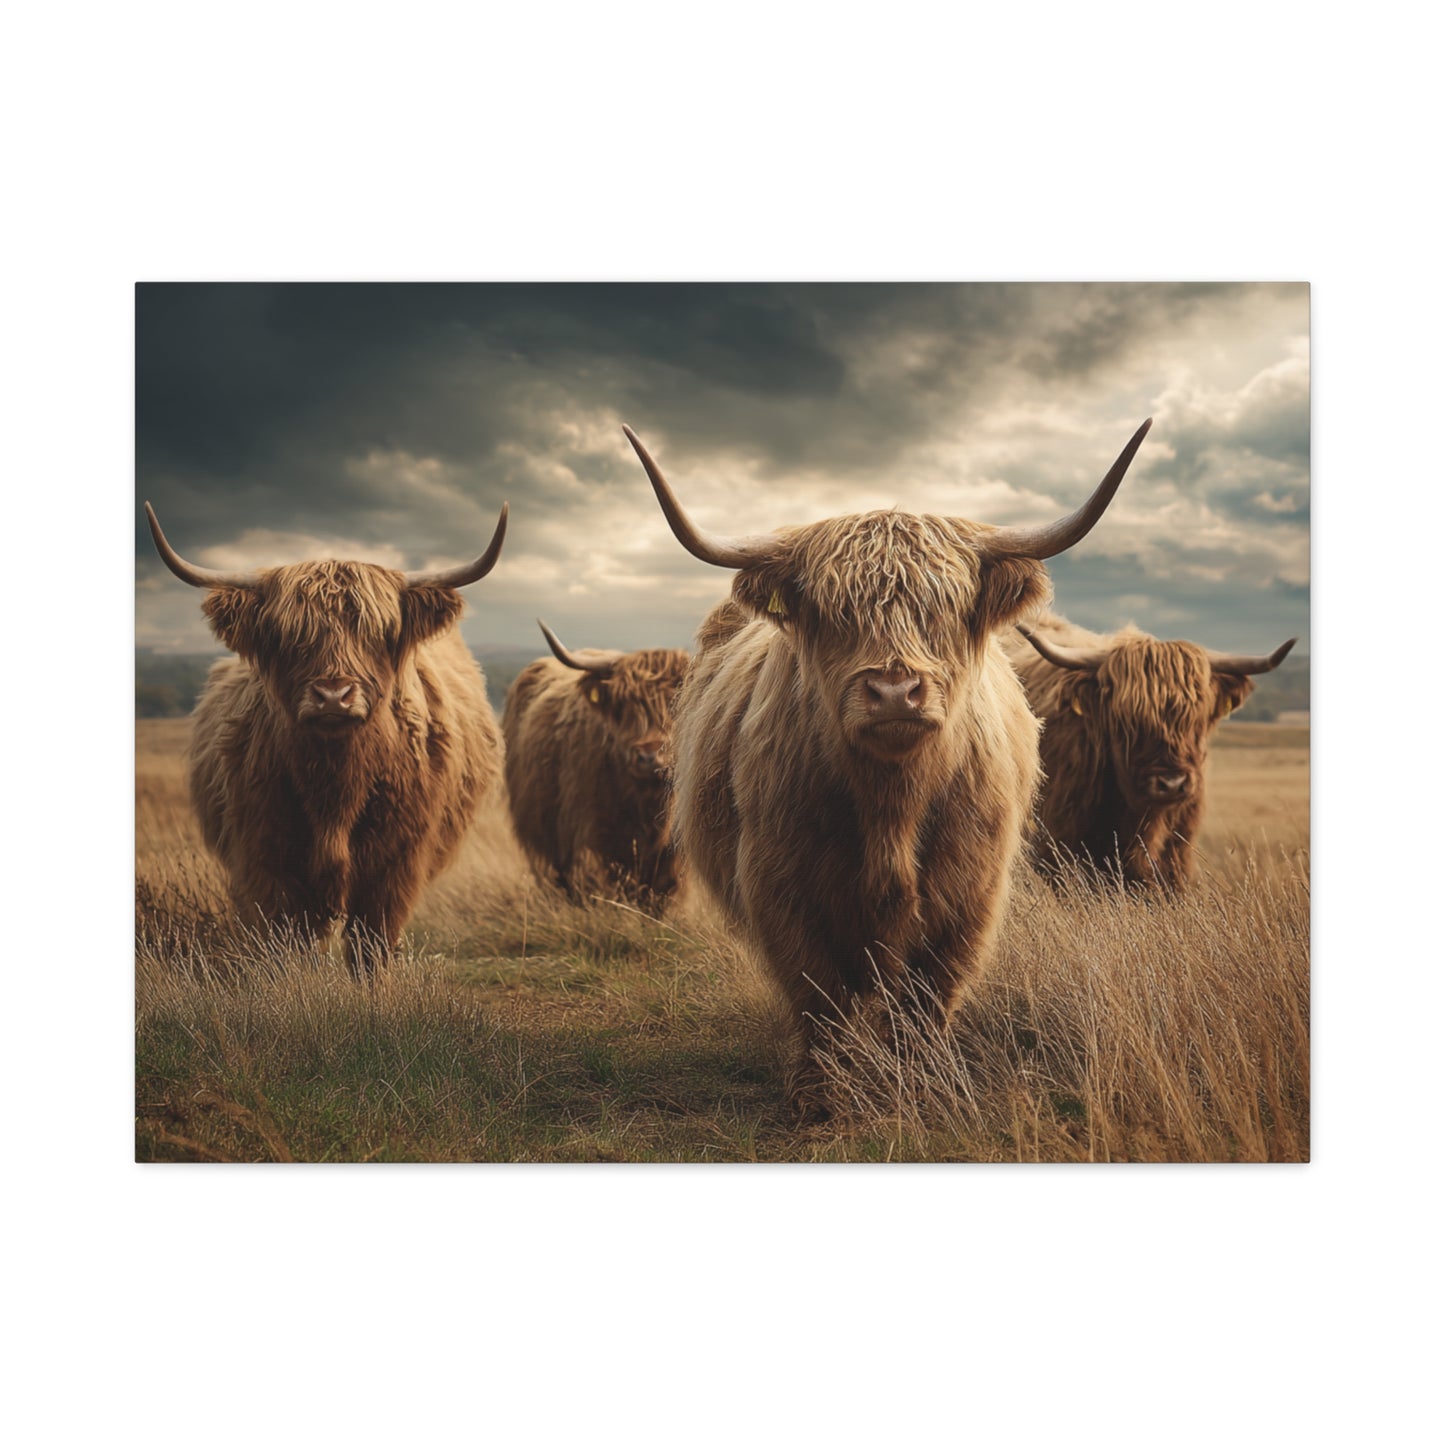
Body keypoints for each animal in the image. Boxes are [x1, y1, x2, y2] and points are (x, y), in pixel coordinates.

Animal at [144, 501, 509, 973]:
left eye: (377, 632)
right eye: (288, 634)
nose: (333, 695)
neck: (335, 789)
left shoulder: (396, 863)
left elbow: (372, 944)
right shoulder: (264, 858)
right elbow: (287, 943)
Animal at [623, 419, 1151, 1118]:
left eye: (947, 607)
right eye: (833, 612)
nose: (896, 692)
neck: (891, 808)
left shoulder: (971, 896)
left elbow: (927, 998)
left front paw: (919, 1086)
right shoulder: (778, 886)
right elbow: (818, 995)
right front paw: (818, 1097)